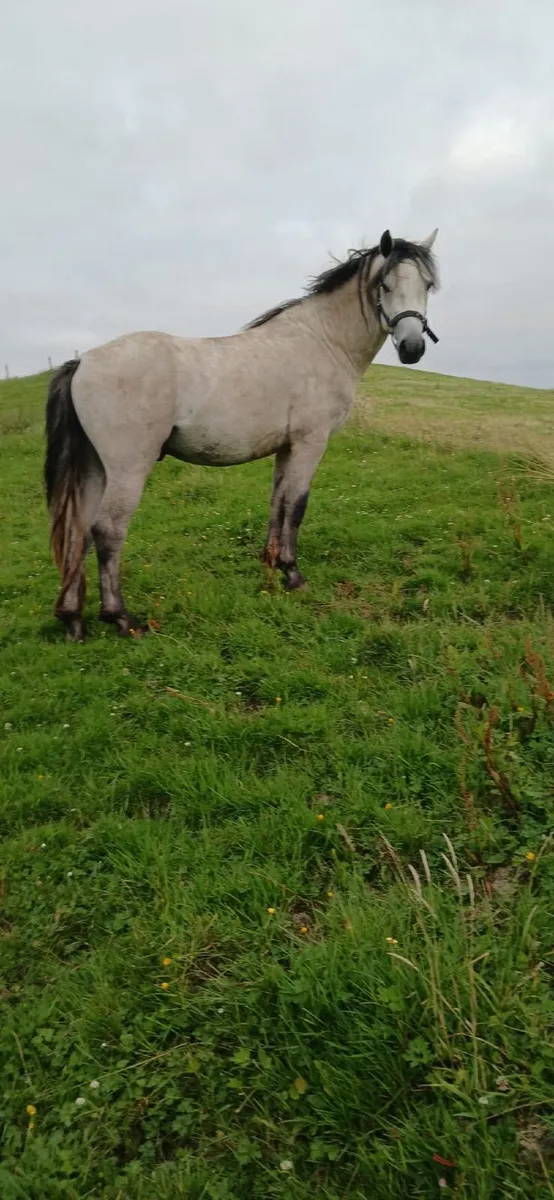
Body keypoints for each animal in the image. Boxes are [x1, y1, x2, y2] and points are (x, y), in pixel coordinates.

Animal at [44, 227, 439, 641]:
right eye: (385, 284)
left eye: (427, 284)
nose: (412, 347)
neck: (323, 341)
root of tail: (82, 362)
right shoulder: (310, 442)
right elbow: (296, 506)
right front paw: (294, 575)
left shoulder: (287, 447)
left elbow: (278, 503)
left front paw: (272, 565)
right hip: (127, 469)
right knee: (107, 531)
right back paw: (120, 617)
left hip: (95, 469)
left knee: (78, 532)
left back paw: (73, 619)